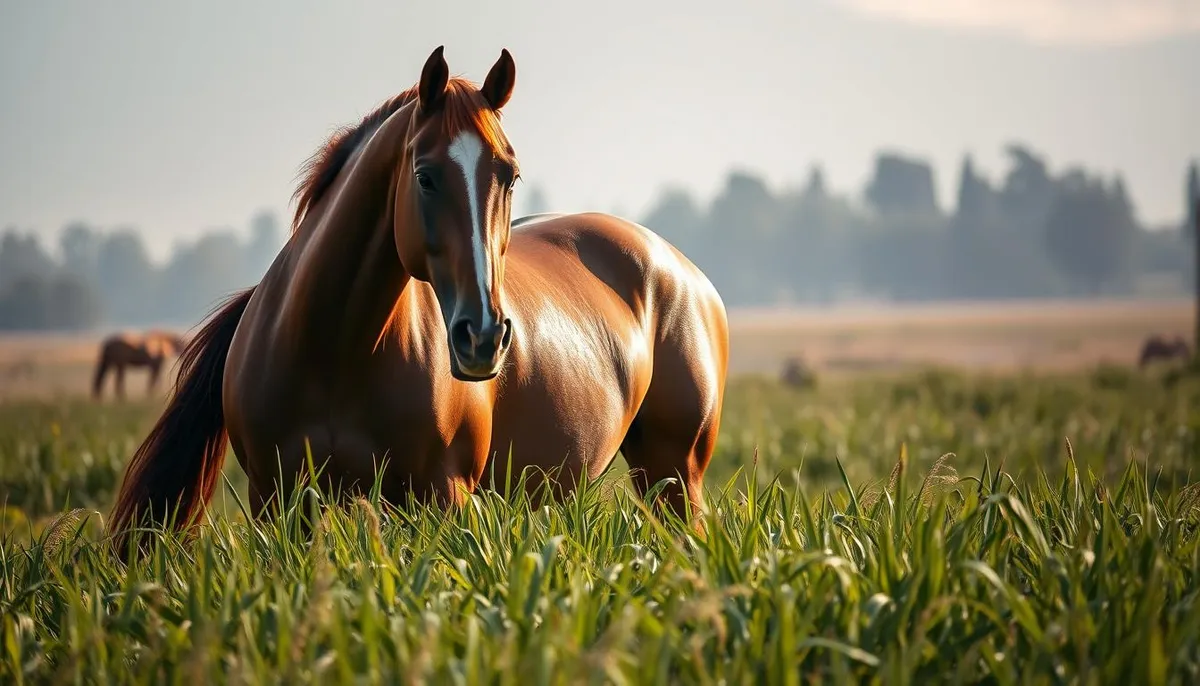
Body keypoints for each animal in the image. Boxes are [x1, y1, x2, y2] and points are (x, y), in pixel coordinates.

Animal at [107, 46, 730, 552]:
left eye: (509, 175)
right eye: (425, 176)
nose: (483, 337)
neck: (333, 352)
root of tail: (685, 272)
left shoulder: (444, 496)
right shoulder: (277, 502)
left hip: (677, 475)